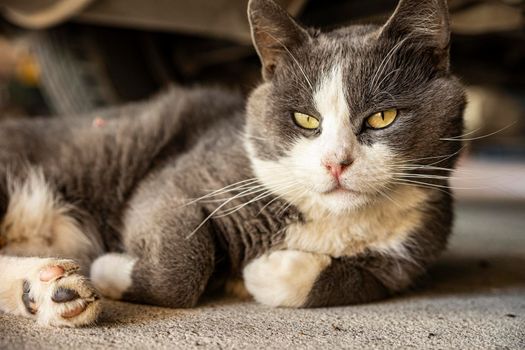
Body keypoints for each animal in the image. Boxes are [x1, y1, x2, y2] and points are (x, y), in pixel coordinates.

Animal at [0, 0, 462, 328]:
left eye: (383, 117)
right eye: (305, 119)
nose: (336, 163)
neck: (333, 218)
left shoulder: (412, 250)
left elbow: (360, 282)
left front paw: (266, 273)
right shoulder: (180, 178)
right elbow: (182, 264)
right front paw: (109, 268)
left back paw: (49, 290)